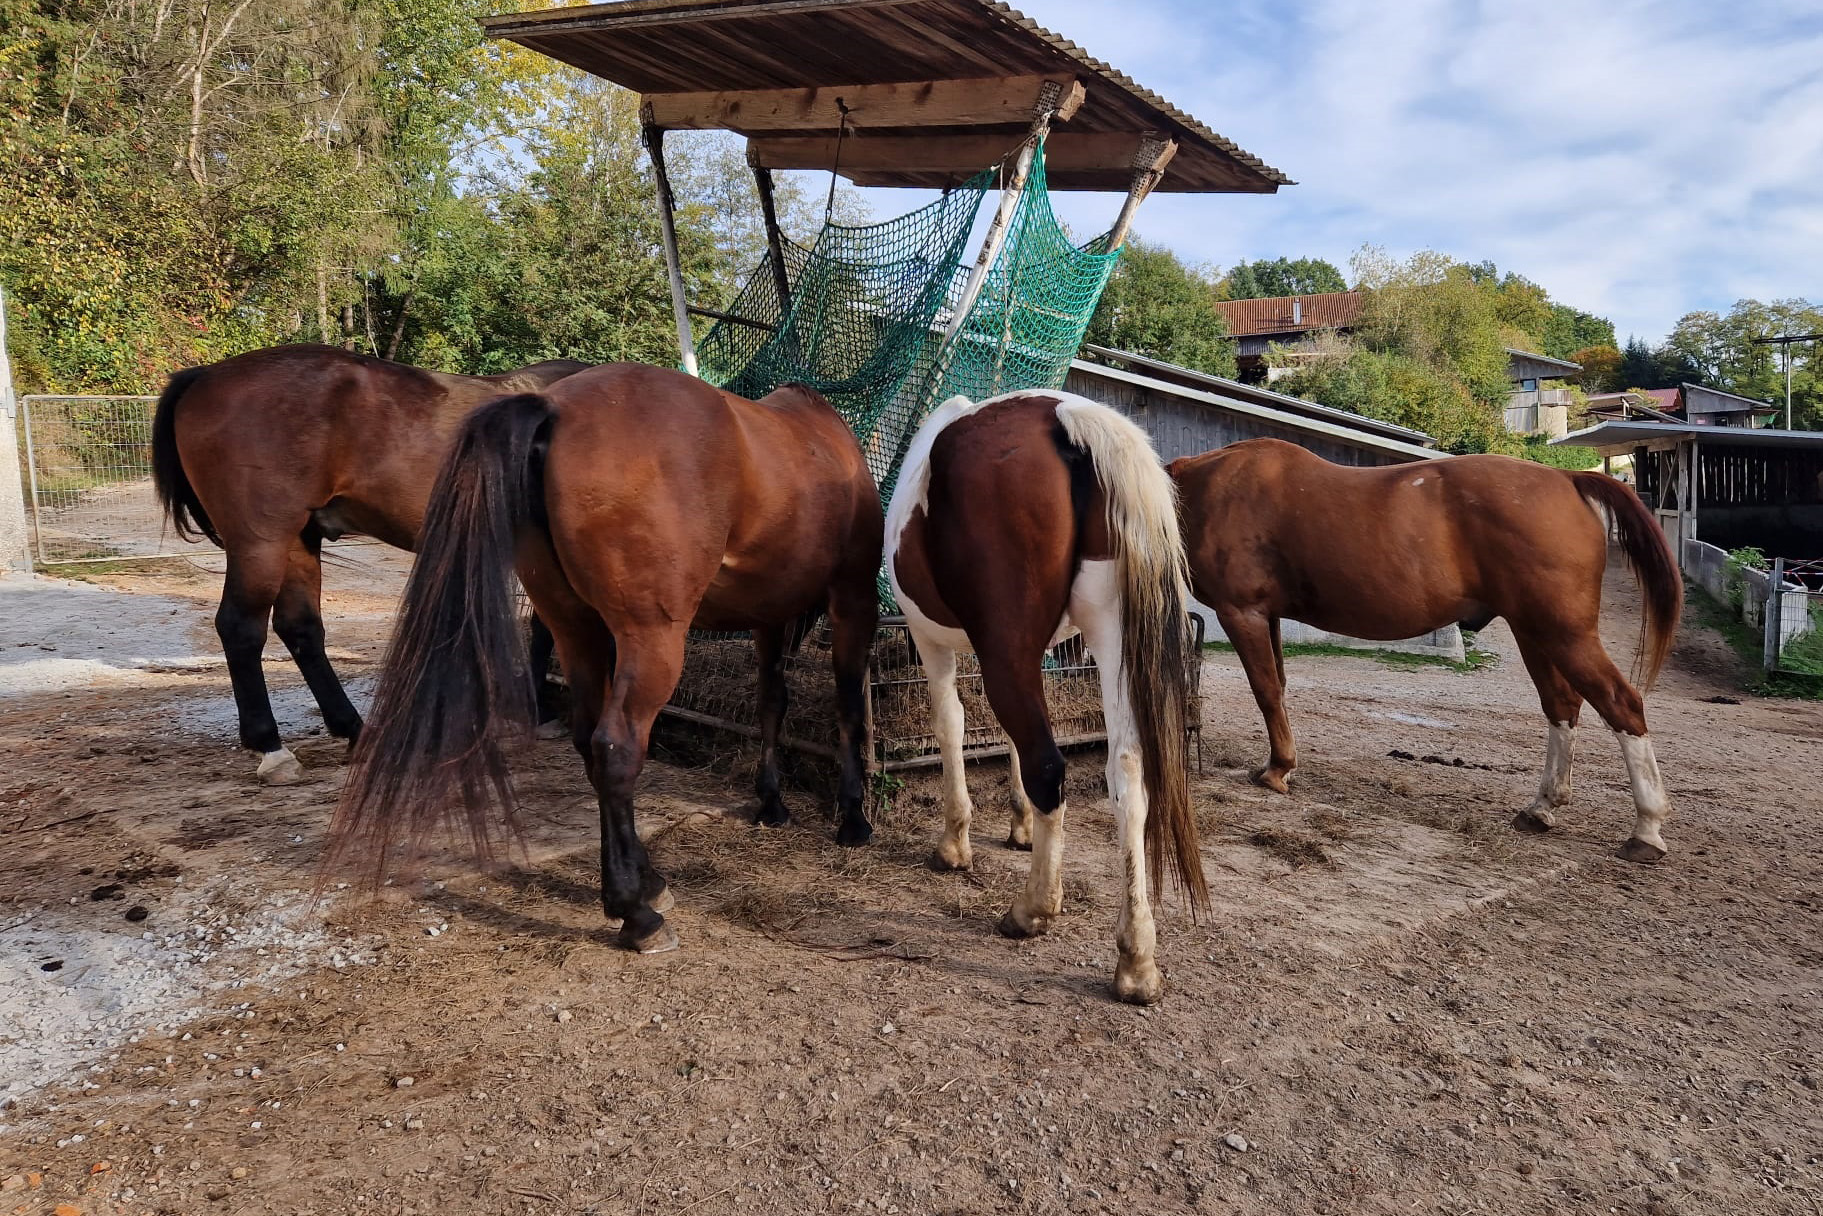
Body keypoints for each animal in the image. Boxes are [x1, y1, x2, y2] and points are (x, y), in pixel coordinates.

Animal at [151, 344, 589, 785]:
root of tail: (204, 376)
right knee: (241, 628)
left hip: (297, 541)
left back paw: (353, 729)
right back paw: (272, 748)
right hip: (261, 544)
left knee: (300, 628)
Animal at [322, 363, 883, 954]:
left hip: (577, 630)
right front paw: (852, 817)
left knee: (588, 741)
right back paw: (636, 912)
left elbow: (771, 704)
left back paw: (646, 882)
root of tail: (554, 409)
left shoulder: (770, 615)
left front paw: (772, 802)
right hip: (650, 639)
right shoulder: (854, 601)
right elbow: (849, 708)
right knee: (615, 748)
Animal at [885, 390, 1208, 1005]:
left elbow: (951, 726)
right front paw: (1019, 827)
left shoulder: (933, 641)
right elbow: (1003, 738)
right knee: (1127, 777)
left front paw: (955, 844)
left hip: (1007, 651)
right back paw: (1136, 960)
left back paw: (1033, 909)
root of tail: (1063, 420)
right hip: (1110, 639)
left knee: (1049, 768)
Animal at [1169, 437, 1683, 863]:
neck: (1203, 488)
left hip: (1564, 634)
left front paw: (1277, 770)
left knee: (1621, 704)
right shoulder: (1269, 616)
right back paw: (1541, 808)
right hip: (1534, 632)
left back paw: (1646, 829)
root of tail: (1566, 479)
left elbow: (1267, 691)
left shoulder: (1244, 613)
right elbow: (1278, 683)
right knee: (1561, 705)